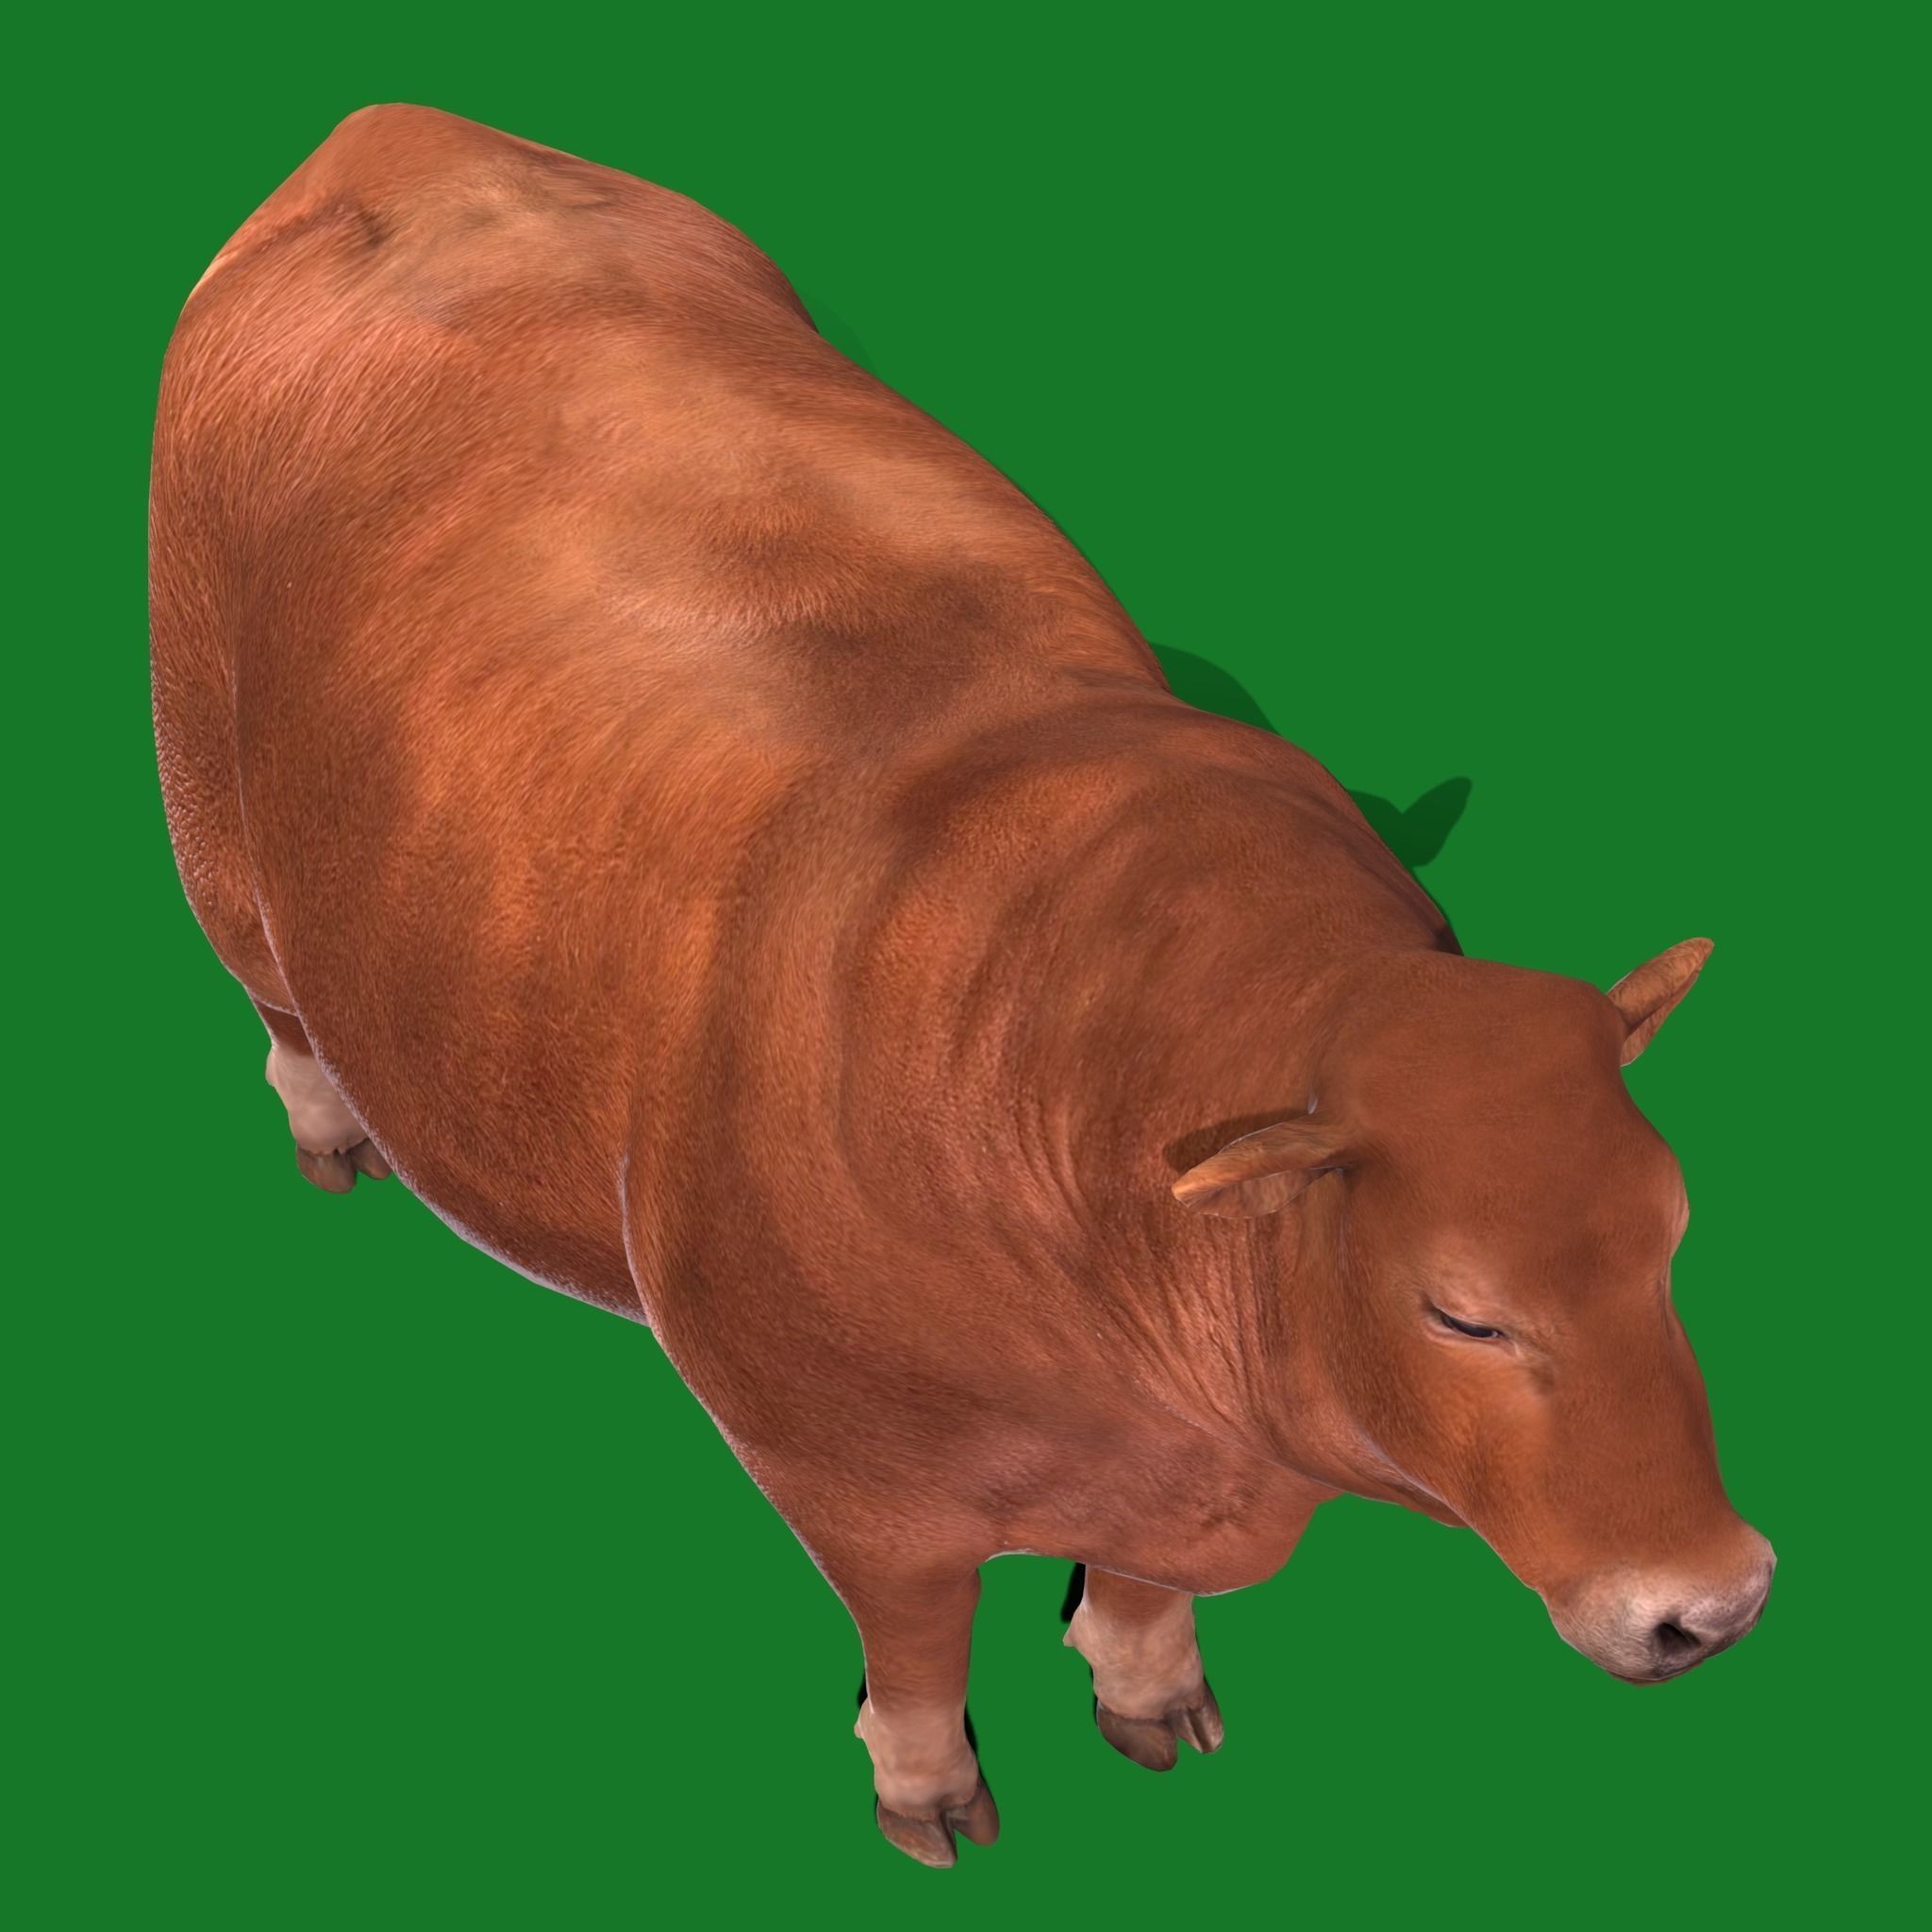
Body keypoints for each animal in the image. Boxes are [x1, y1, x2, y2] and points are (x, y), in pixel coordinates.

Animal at [150, 105, 1775, 1868]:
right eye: (1459, 1311)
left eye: (1670, 1237)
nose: (1715, 1599)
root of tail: (402, 133)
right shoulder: (845, 1474)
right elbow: (917, 1640)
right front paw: (929, 1797)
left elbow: (1142, 1593)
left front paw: (1152, 1698)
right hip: (215, 828)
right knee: (280, 1003)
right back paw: (331, 1135)